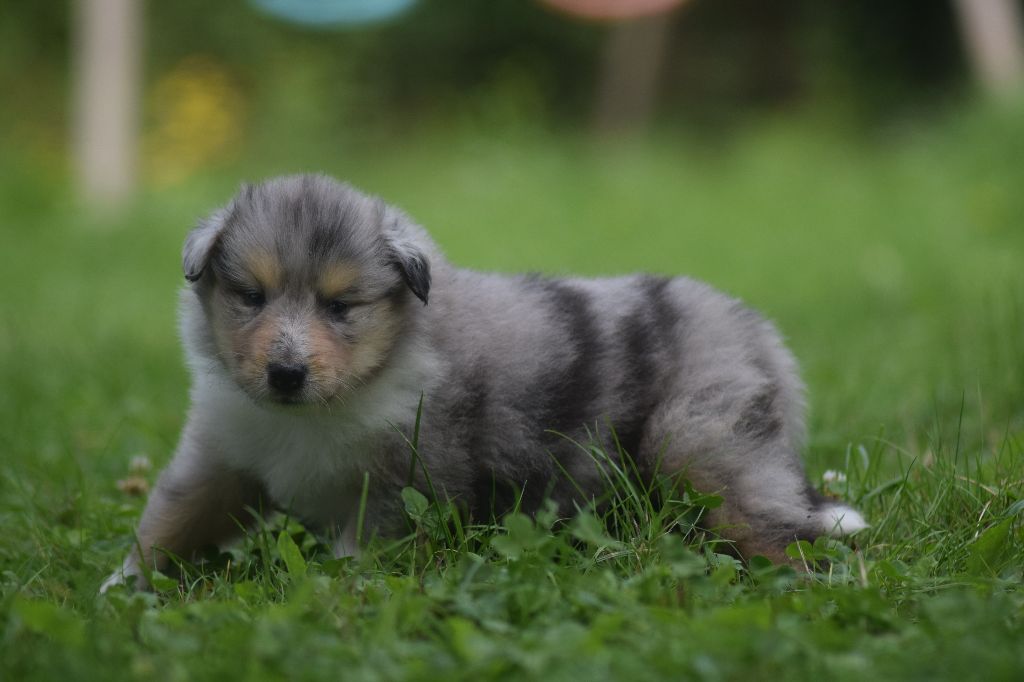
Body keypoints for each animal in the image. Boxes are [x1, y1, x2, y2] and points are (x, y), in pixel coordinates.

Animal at [102, 174, 865, 591]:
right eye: (250, 297)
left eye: (342, 306)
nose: (285, 373)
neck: (322, 409)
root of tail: (755, 328)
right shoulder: (221, 457)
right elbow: (168, 521)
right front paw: (117, 589)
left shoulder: (399, 488)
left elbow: (354, 557)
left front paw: (324, 597)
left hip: (698, 441)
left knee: (771, 527)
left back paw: (791, 586)